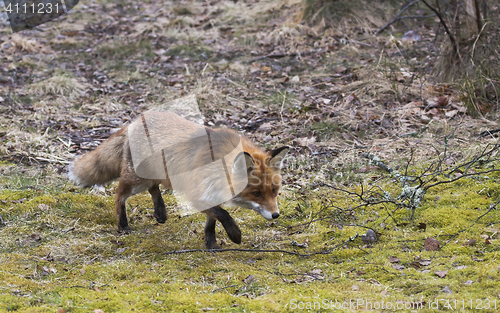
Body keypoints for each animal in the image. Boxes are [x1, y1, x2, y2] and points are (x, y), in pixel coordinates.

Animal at [69, 112, 290, 249]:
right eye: (256, 193)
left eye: (274, 191)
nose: (276, 215)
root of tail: (135, 121)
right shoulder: (196, 193)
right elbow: (222, 213)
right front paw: (234, 234)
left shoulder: (211, 193)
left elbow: (212, 220)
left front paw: (211, 243)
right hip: (135, 180)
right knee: (119, 195)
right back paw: (123, 225)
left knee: (154, 187)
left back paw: (160, 213)